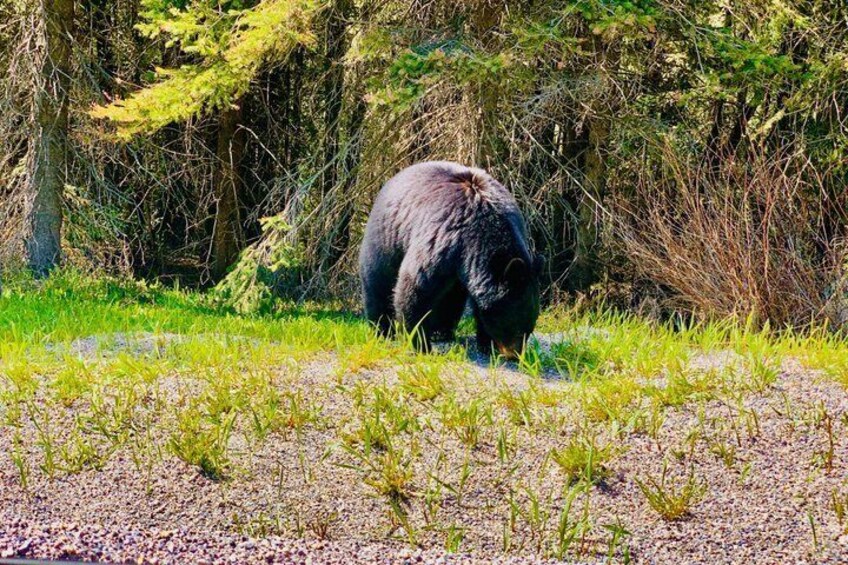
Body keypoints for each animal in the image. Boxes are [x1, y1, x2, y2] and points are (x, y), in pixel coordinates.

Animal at [359, 161, 542, 358]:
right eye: (512, 326)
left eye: (530, 327)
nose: (515, 355)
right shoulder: (443, 241)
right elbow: (415, 287)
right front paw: (420, 344)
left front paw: (487, 344)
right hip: (385, 237)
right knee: (378, 282)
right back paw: (383, 330)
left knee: (451, 298)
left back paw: (442, 331)